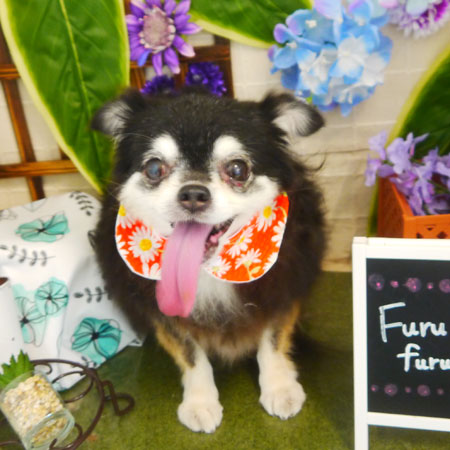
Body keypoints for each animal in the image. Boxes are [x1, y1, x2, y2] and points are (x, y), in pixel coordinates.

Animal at [92, 87, 326, 433]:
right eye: (154, 168)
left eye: (238, 169)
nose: (192, 194)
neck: (208, 271)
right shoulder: (163, 312)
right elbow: (191, 355)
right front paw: (200, 402)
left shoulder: (280, 292)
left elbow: (271, 342)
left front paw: (279, 387)